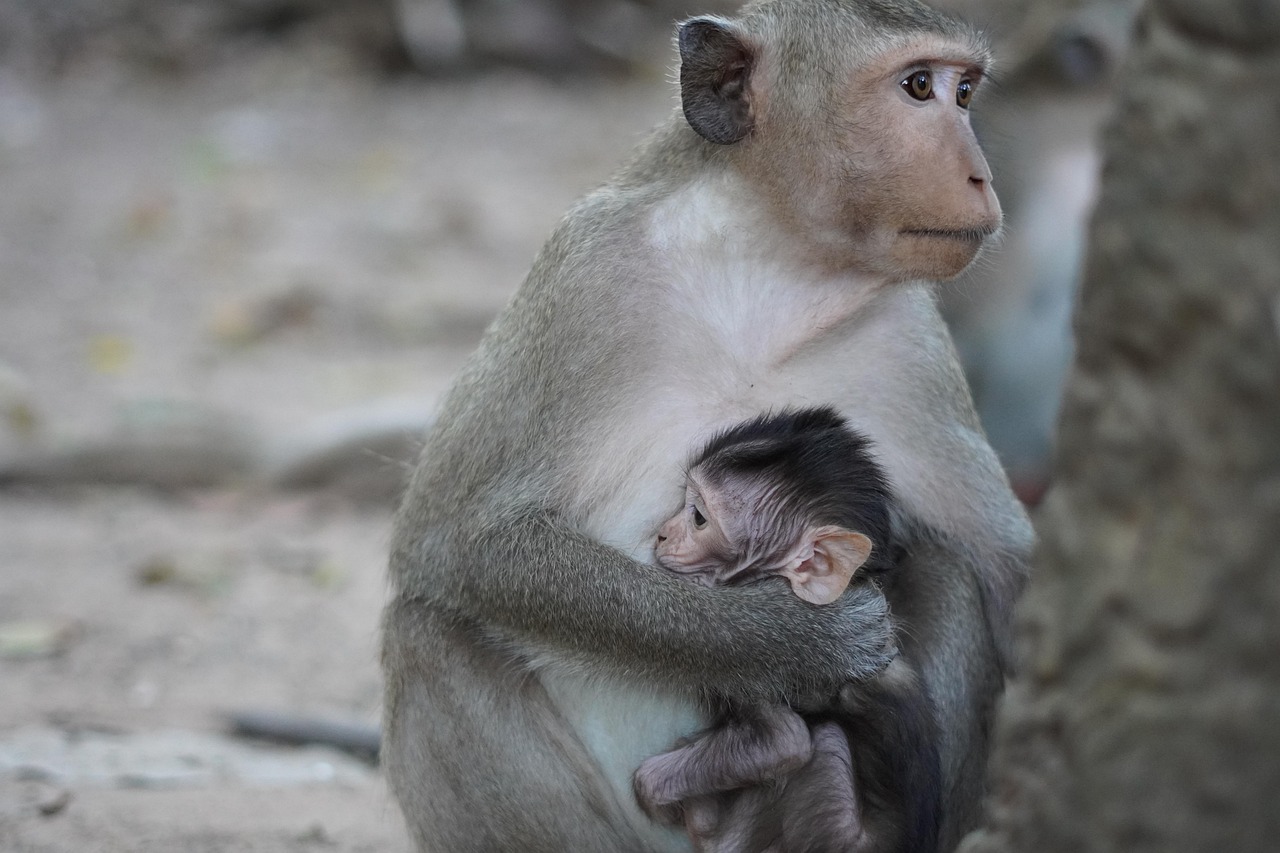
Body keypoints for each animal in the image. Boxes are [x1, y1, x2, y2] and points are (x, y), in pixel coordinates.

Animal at [632, 407, 943, 853]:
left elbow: (784, 743)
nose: (662, 533)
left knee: (825, 743)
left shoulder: (763, 657)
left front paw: (658, 793)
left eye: (699, 518)